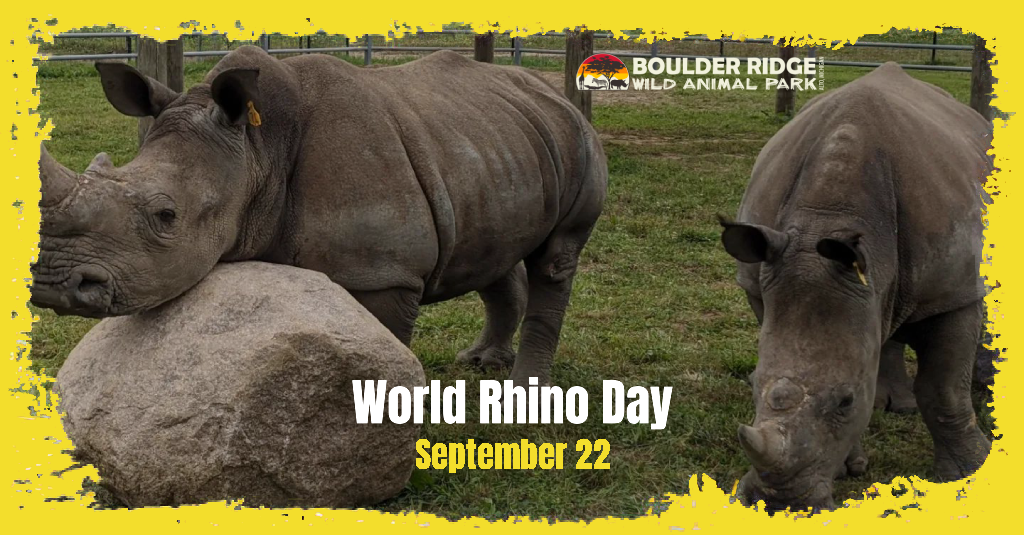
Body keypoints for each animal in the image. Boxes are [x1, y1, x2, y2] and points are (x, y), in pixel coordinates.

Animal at [31, 46, 608, 386]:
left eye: (166, 215)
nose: (55, 283)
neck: (256, 148)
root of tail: (547, 89)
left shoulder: (385, 272)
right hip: (492, 142)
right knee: (493, 251)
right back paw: (482, 364)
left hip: (577, 136)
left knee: (556, 258)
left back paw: (526, 390)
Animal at [719, 62, 993, 511]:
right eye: (752, 385)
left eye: (846, 401)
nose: (779, 504)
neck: (829, 217)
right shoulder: (764, 283)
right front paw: (850, 466)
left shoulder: (951, 291)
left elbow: (944, 389)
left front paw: (968, 471)